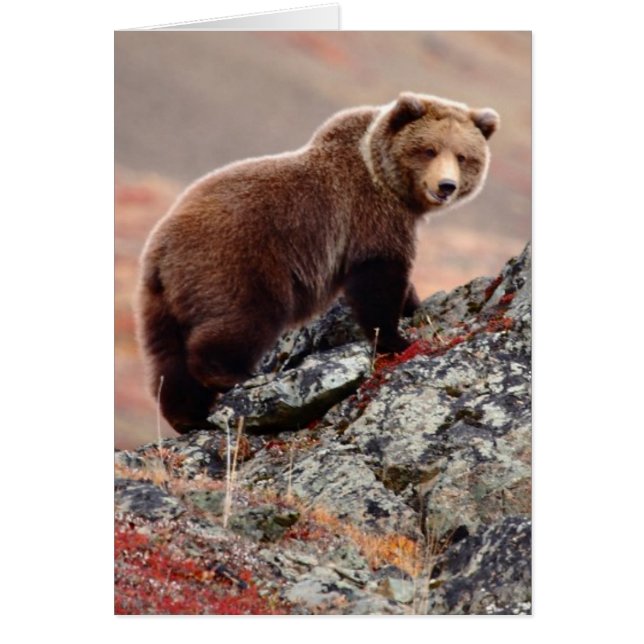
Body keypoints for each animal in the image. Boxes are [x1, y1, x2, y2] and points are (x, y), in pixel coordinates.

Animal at [136, 92, 499, 433]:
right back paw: (229, 376)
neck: (387, 181)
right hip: (236, 263)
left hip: (161, 301)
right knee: (244, 318)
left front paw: (413, 306)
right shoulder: (369, 217)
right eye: (429, 150)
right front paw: (398, 339)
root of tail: (160, 249)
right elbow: (378, 280)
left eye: (463, 156)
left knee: (168, 358)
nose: (446, 186)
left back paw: (186, 416)